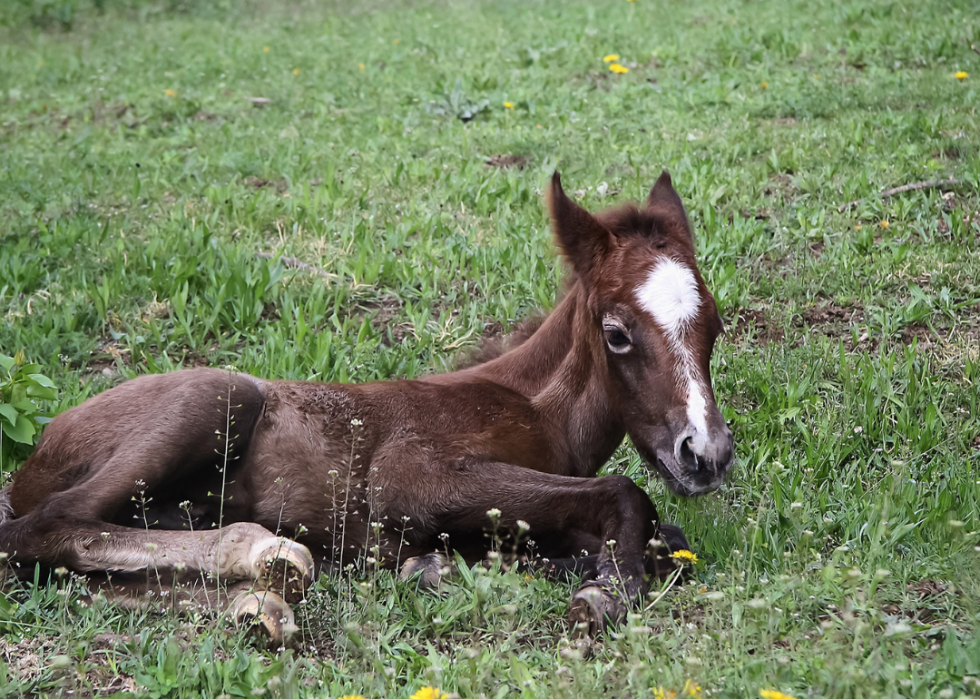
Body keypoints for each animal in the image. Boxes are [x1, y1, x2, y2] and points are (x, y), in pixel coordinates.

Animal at [0, 172, 732, 644]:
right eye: (617, 333)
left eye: (715, 325)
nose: (706, 453)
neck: (535, 407)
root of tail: (34, 457)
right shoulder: (409, 476)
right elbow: (626, 494)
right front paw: (601, 593)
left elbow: (668, 541)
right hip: (218, 397)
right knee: (44, 529)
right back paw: (267, 556)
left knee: (77, 571)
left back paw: (262, 605)